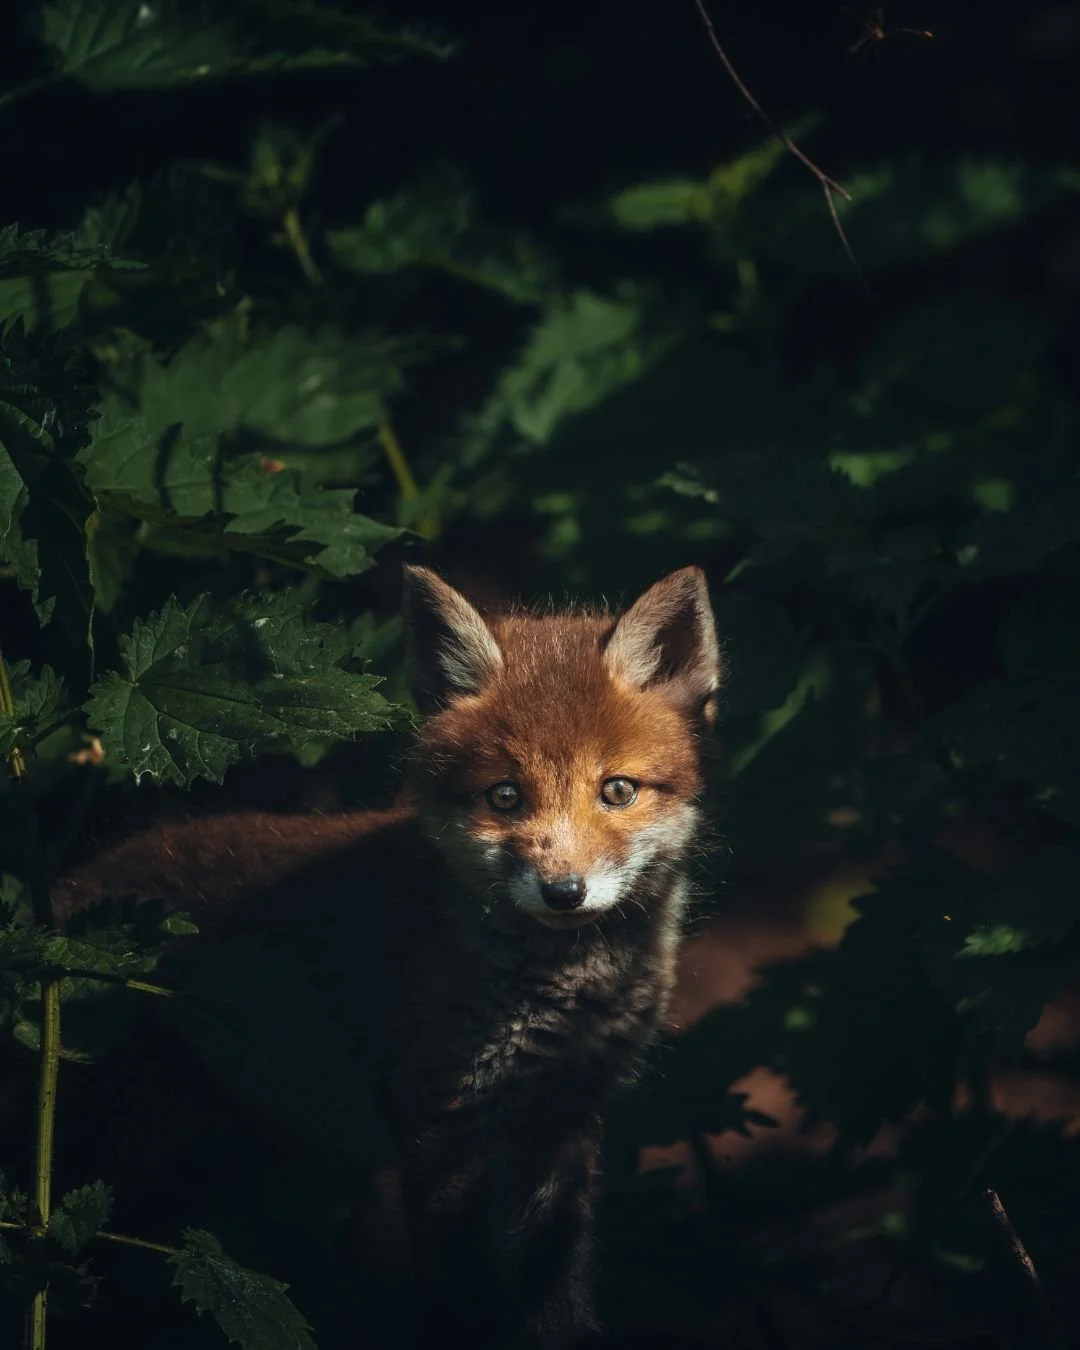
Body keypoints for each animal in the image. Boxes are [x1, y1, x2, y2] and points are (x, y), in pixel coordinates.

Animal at [53, 563, 722, 1350]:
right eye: (505, 797)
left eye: (616, 789)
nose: (564, 893)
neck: (559, 990)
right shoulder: (442, 1124)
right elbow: (460, 1295)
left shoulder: (563, 1117)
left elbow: (557, 1296)